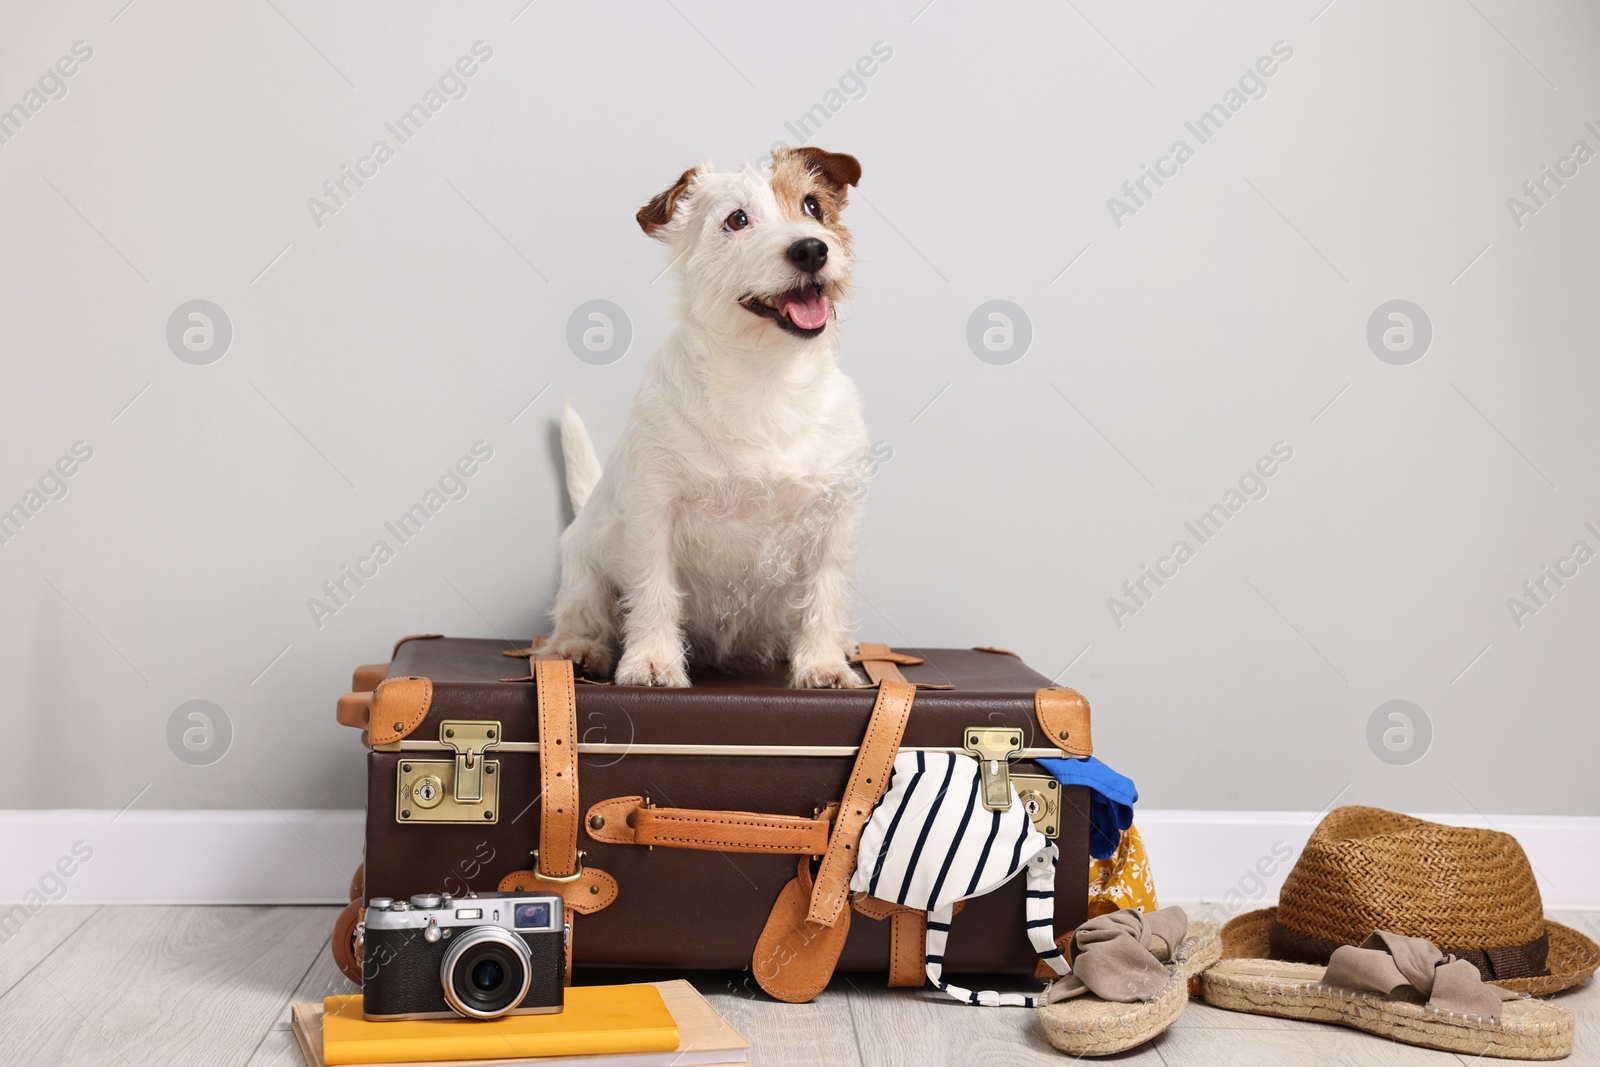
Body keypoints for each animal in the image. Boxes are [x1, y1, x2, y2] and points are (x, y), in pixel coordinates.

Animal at [550, 146, 876, 687]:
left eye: (812, 206)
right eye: (737, 219)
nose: (811, 250)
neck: (765, 378)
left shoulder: (836, 519)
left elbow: (826, 594)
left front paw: (824, 664)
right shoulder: (653, 511)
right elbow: (653, 590)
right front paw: (652, 661)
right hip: (585, 569)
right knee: (580, 615)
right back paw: (579, 649)